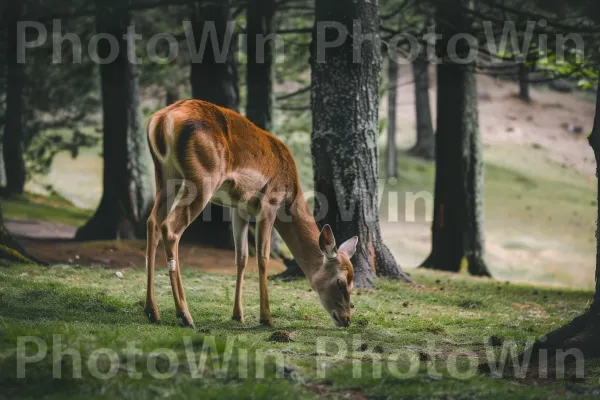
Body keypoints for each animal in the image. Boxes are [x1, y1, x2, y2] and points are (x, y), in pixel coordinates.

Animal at [144, 99, 356, 328]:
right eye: (340, 281)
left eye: (352, 282)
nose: (346, 319)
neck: (290, 195)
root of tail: (161, 119)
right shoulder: (270, 201)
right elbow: (262, 257)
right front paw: (266, 317)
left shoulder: (240, 208)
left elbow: (242, 257)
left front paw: (238, 314)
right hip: (201, 179)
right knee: (170, 228)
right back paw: (185, 314)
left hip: (164, 176)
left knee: (152, 222)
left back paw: (152, 311)